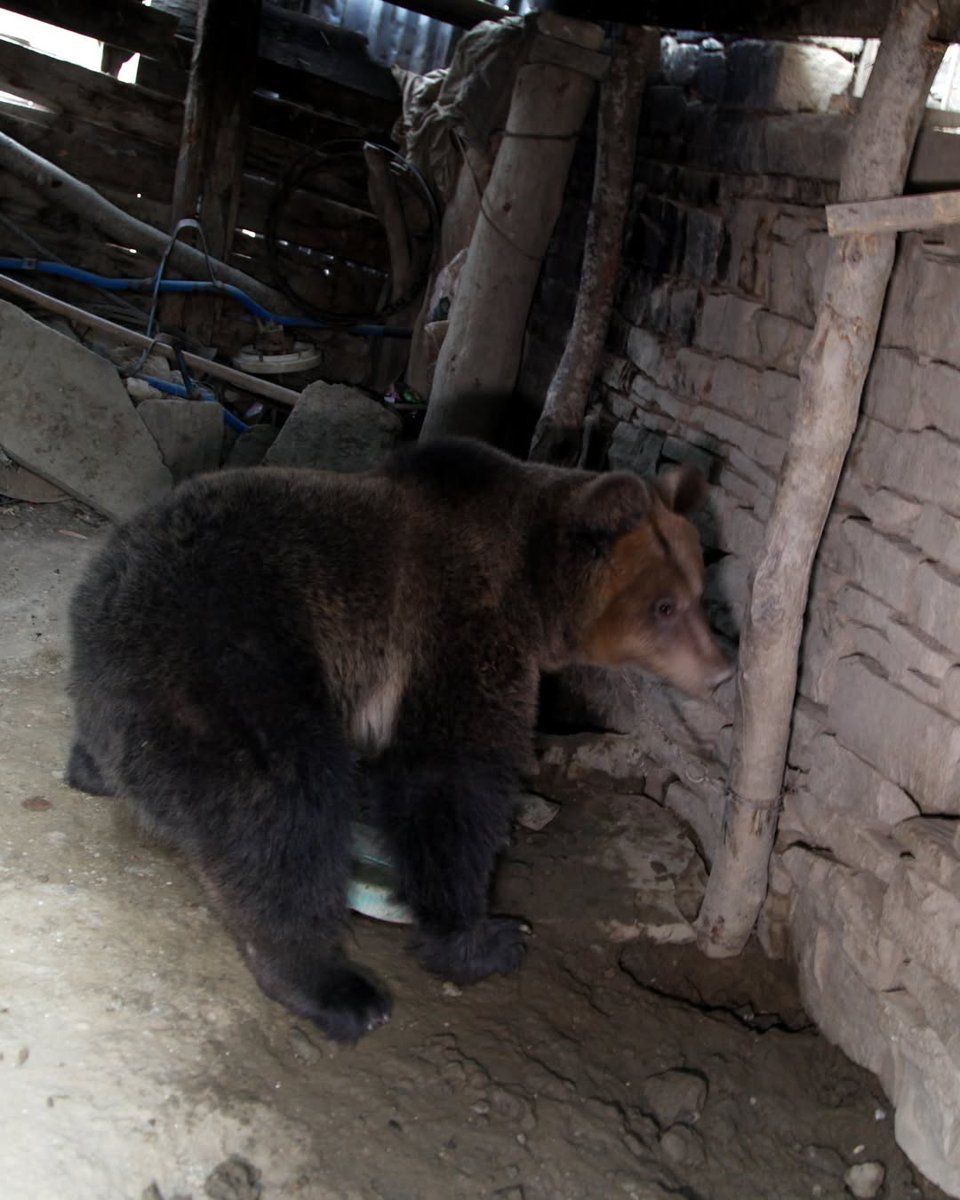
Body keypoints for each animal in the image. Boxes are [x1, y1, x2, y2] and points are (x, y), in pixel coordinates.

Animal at [65, 436, 730, 1042]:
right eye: (664, 607)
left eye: (700, 592)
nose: (721, 673)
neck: (534, 595)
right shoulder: (455, 627)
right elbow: (449, 780)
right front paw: (483, 937)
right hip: (231, 668)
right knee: (282, 810)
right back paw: (331, 986)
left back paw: (89, 768)